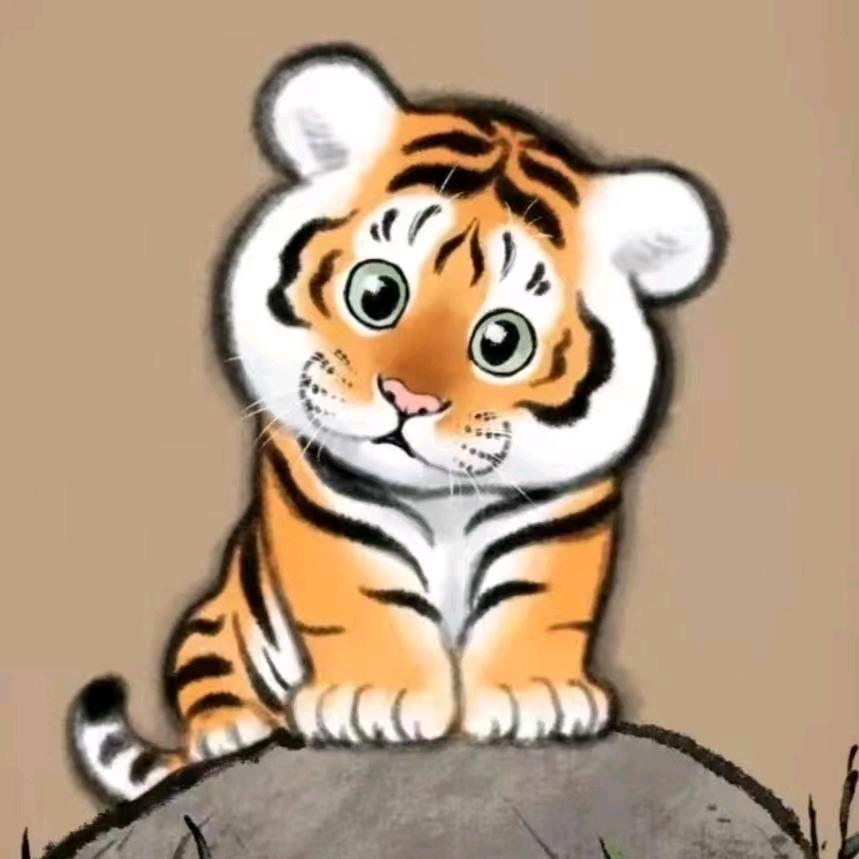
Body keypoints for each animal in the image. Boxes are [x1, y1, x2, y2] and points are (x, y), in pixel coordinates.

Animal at [69, 43, 726, 802]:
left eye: (502, 342)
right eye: (377, 294)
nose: (409, 400)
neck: (439, 502)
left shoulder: (561, 519)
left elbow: (534, 599)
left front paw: (534, 696)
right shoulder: (327, 513)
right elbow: (366, 598)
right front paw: (373, 701)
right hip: (210, 625)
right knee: (205, 681)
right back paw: (231, 733)